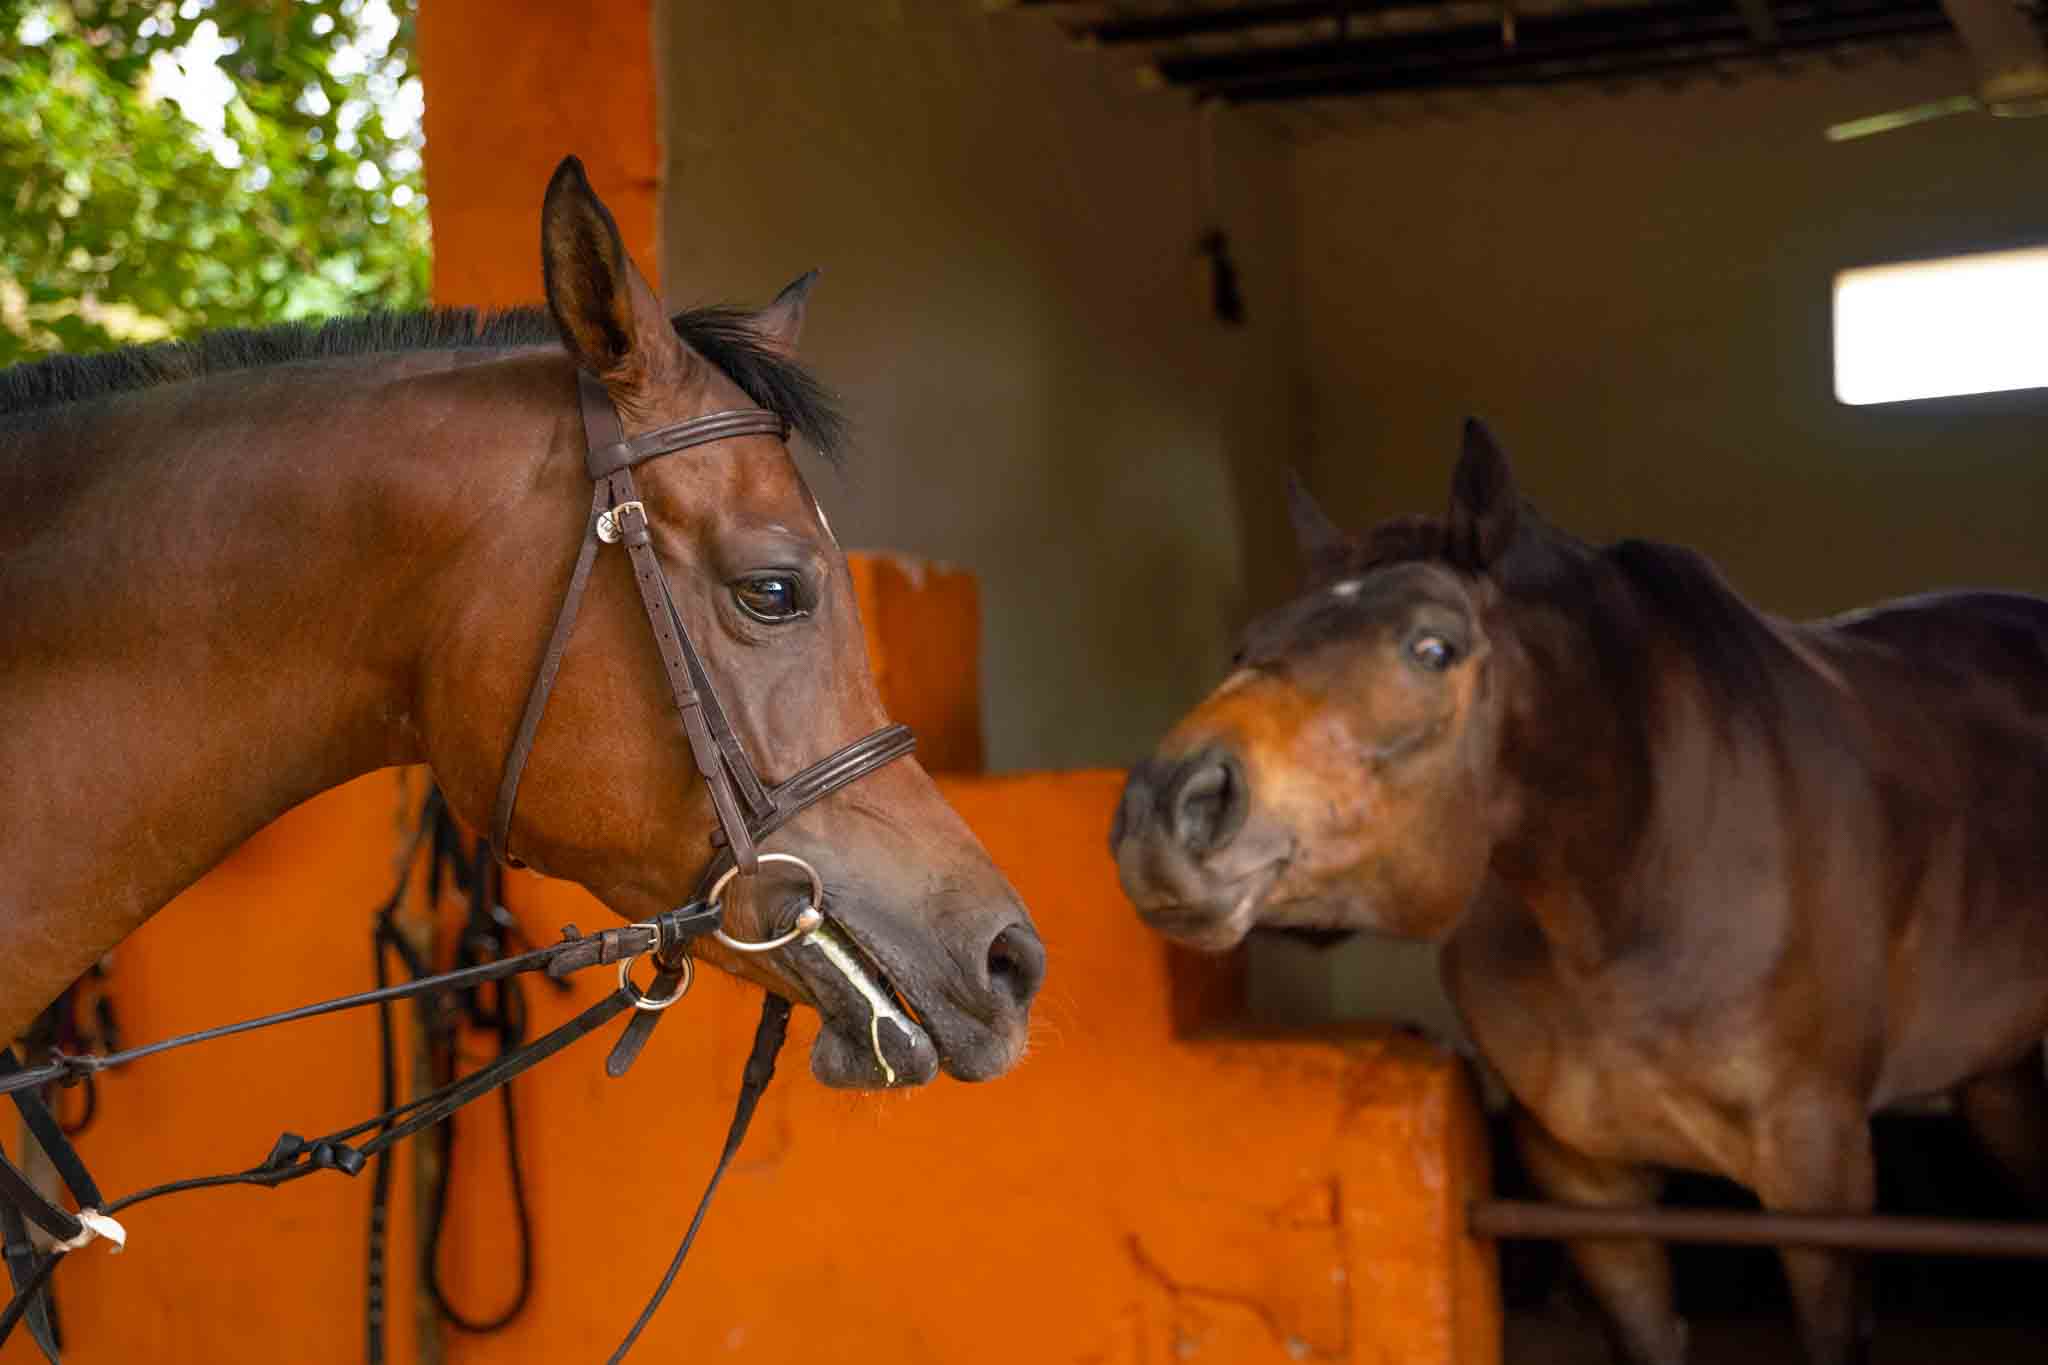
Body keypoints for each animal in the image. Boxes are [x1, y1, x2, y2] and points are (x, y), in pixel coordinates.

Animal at [1110, 419, 2048, 1365]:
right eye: (1247, 643)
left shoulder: (1818, 1174)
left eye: (1432, 647)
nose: (1167, 809)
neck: (1636, 884)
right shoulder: (1588, 1186)